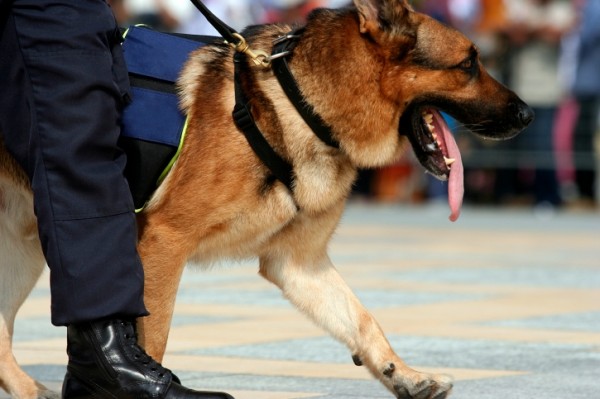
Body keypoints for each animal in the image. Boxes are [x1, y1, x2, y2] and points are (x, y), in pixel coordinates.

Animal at [2, 0, 532, 398]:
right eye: (469, 64)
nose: (527, 116)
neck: (301, 103)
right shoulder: (162, 245)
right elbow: (153, 338)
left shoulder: (300, 263)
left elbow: (362, 319)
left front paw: (402, 374)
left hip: (25, 253)